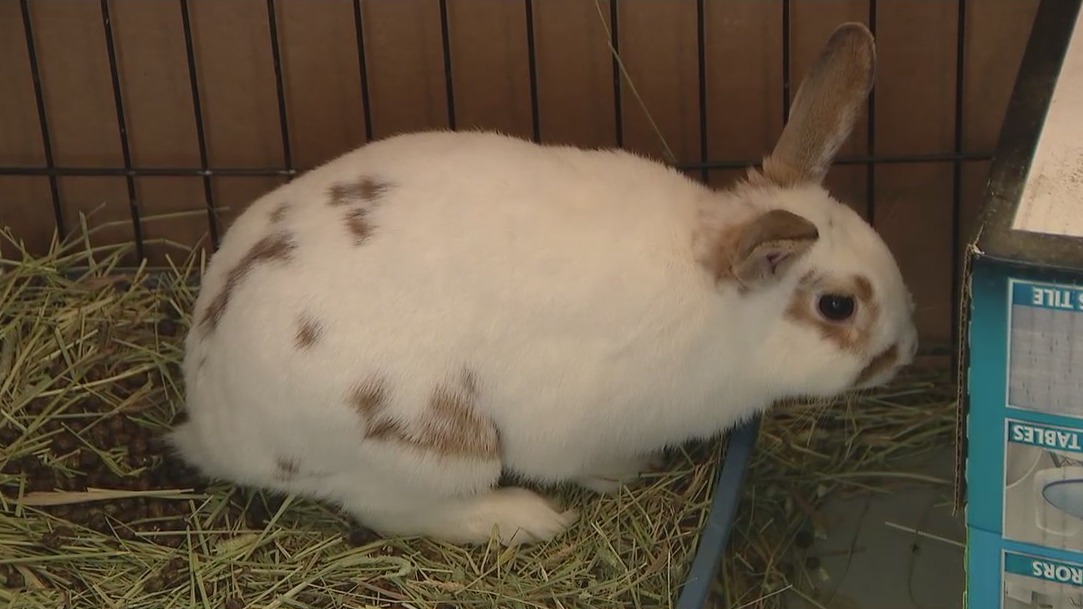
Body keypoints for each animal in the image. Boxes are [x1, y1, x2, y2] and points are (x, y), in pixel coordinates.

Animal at [166, 22, 918, 547]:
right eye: (837, 305)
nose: (906, 350)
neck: (716, 301)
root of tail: (209, 418)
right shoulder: (574, 424)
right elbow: (579, 460)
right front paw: (627, 473)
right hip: (426, 447)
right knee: (394, 509)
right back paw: (525, 519)